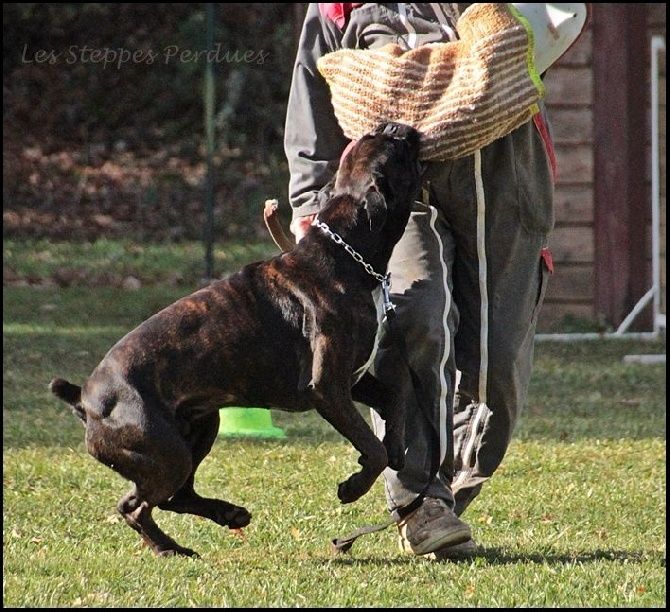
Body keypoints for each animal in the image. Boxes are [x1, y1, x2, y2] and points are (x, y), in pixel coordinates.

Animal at [50, 122, 422, 556]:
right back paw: (169, 548)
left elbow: (393, 401)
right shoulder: (328, 388)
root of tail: (86, 400)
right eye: (395, 147)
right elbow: (371, 445)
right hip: (166, 451)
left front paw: (395, 451)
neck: (346, 254)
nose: (398, 126)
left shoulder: (353, 379)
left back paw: (228, 515)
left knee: (176, 496)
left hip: (198, 428)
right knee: (136, 505)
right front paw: (353, 487)